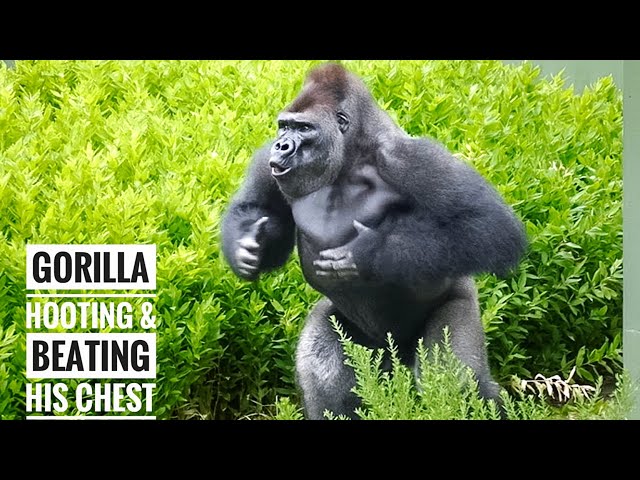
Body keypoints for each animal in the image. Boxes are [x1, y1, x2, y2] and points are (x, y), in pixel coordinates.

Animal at [221, 63, 527, 419]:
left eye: (304, 128)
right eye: (284, 126)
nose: (281, 145)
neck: (349, 157)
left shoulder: (411, 157)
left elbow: (490, 225)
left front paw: (369, 252)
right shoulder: (267, 164)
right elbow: (256, 210)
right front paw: (245, 247)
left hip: (460, 301)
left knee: (455, 380)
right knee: (324, 372)